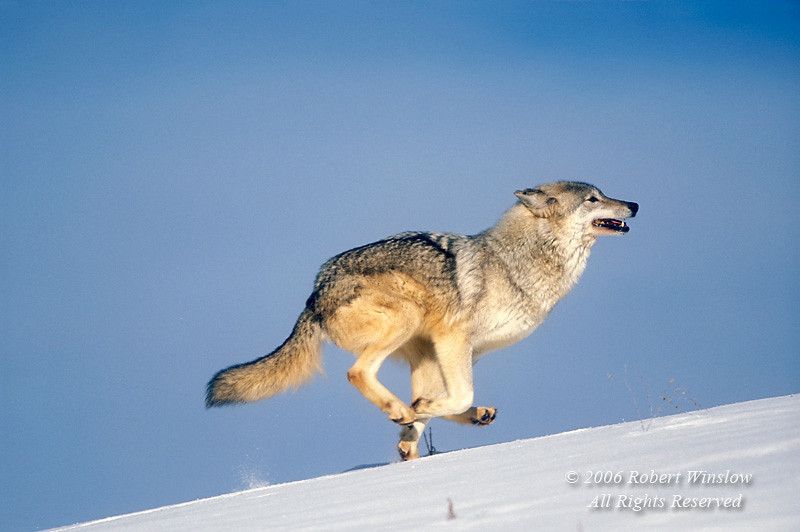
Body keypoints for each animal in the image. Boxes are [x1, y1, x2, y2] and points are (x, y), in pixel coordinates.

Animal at [206, 181, 636, 460]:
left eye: (604, 194)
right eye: (594, 198)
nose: (633, 204)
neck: (515, 264)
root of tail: (314, 294)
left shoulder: (458, 351)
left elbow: (452, 400)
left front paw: (420, 427)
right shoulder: (453, 338)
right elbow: (459, 394)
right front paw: (418, 413)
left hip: (420, 351)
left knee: (418, 406)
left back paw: (425, 424)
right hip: (407, 319)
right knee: (358, 373)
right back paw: (402, 409)